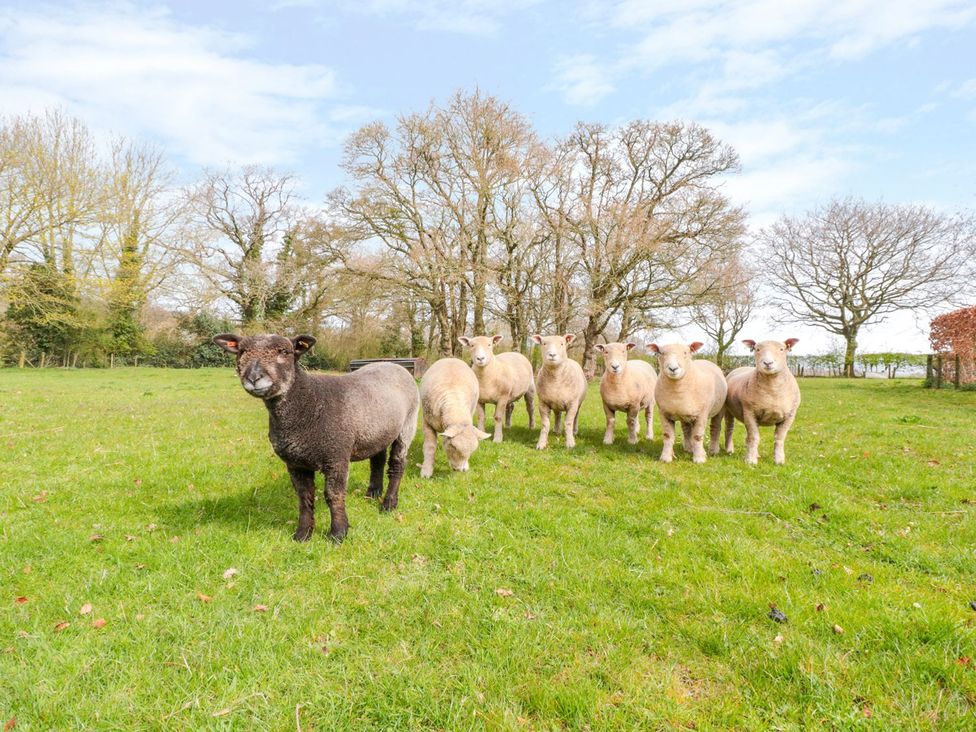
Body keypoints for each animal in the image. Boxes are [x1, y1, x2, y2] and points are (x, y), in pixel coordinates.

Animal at [213, 333, 419, 543]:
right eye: (242, 352)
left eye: (284, 351)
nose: (254, 378)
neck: (310, 403)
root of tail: (392, 364)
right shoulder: (295, 463)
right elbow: (304, 497)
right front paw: (303, 534)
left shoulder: (336, 457)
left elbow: (333, 495)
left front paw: (338, 533)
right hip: (378, 430)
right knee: (377, 460)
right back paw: (373, 493)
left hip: (408, 424)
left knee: (397, 464)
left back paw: (389, 503)